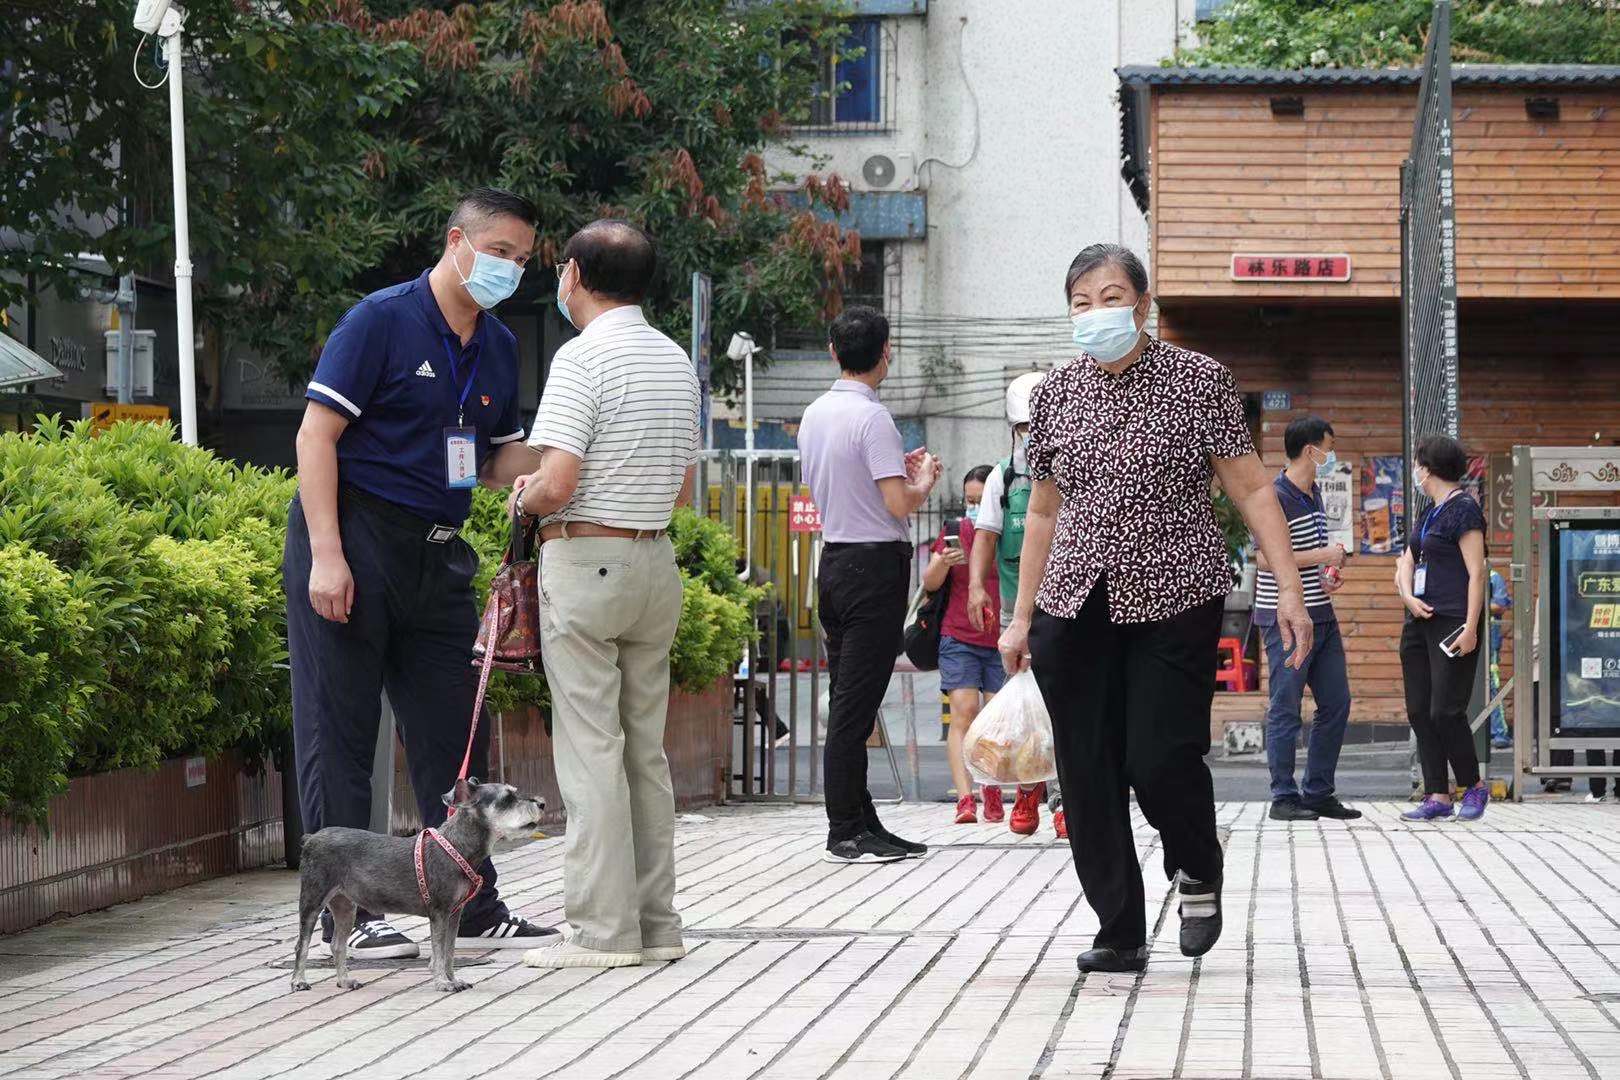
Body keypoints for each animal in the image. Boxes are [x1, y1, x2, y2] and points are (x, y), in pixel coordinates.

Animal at [291, 777, 544, 997]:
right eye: (507, 799)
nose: (541, 803)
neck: (457, 846)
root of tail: (310, 838)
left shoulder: (454, 914)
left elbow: (449, 952)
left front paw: (453, 979)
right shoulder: (439, 913)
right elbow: (439, 951)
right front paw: (443, 983)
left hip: (345, 907)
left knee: (337, 945)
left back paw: (344, 981)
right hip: (313, 900)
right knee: (302, 944)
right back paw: (299, 981)